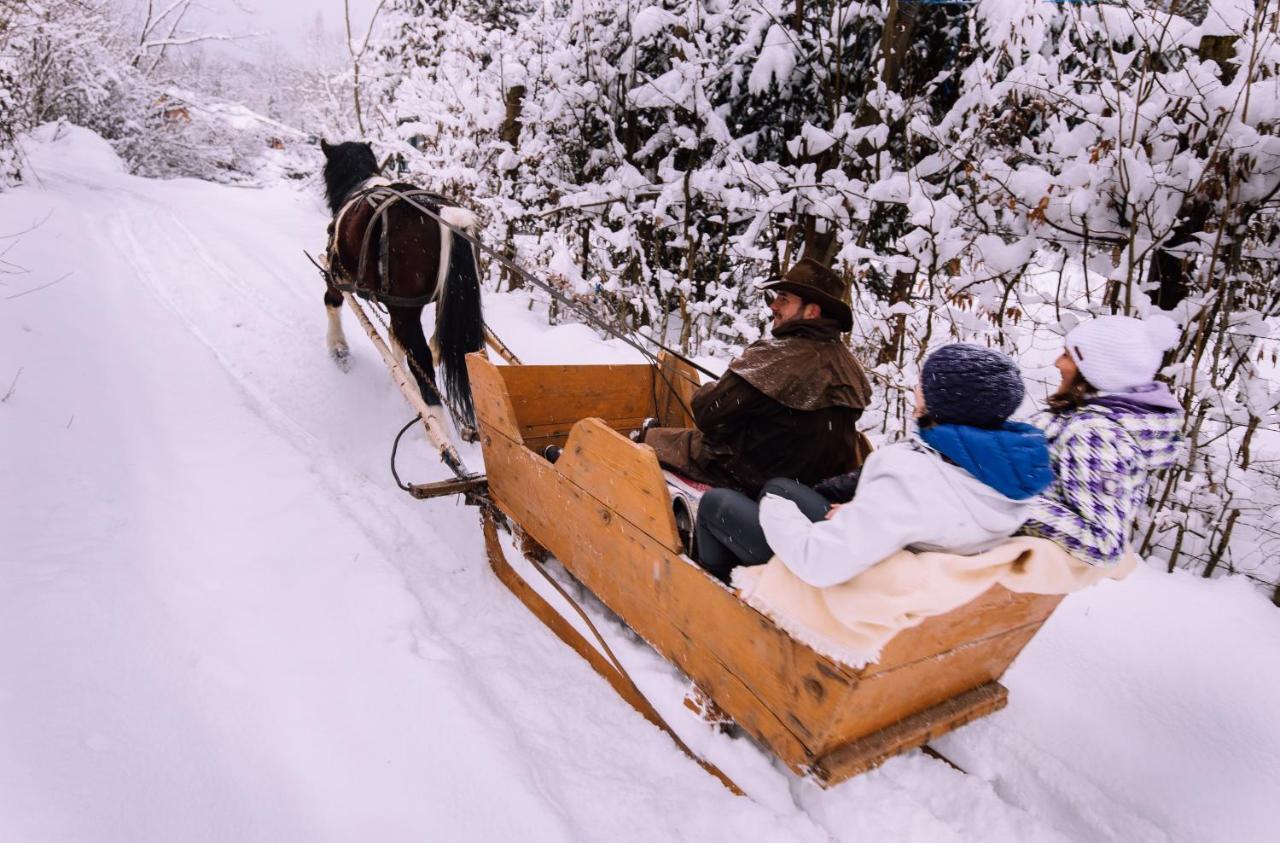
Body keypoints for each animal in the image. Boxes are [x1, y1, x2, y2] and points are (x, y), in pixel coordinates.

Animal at [317, 139, 481, 434]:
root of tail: (442, 213)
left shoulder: (337, 274)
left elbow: (332, 302)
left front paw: (339, 349)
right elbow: (396, 338)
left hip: (404, 306)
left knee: (423, 359)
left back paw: (436, 424)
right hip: (440, 303)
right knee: (443, 348)